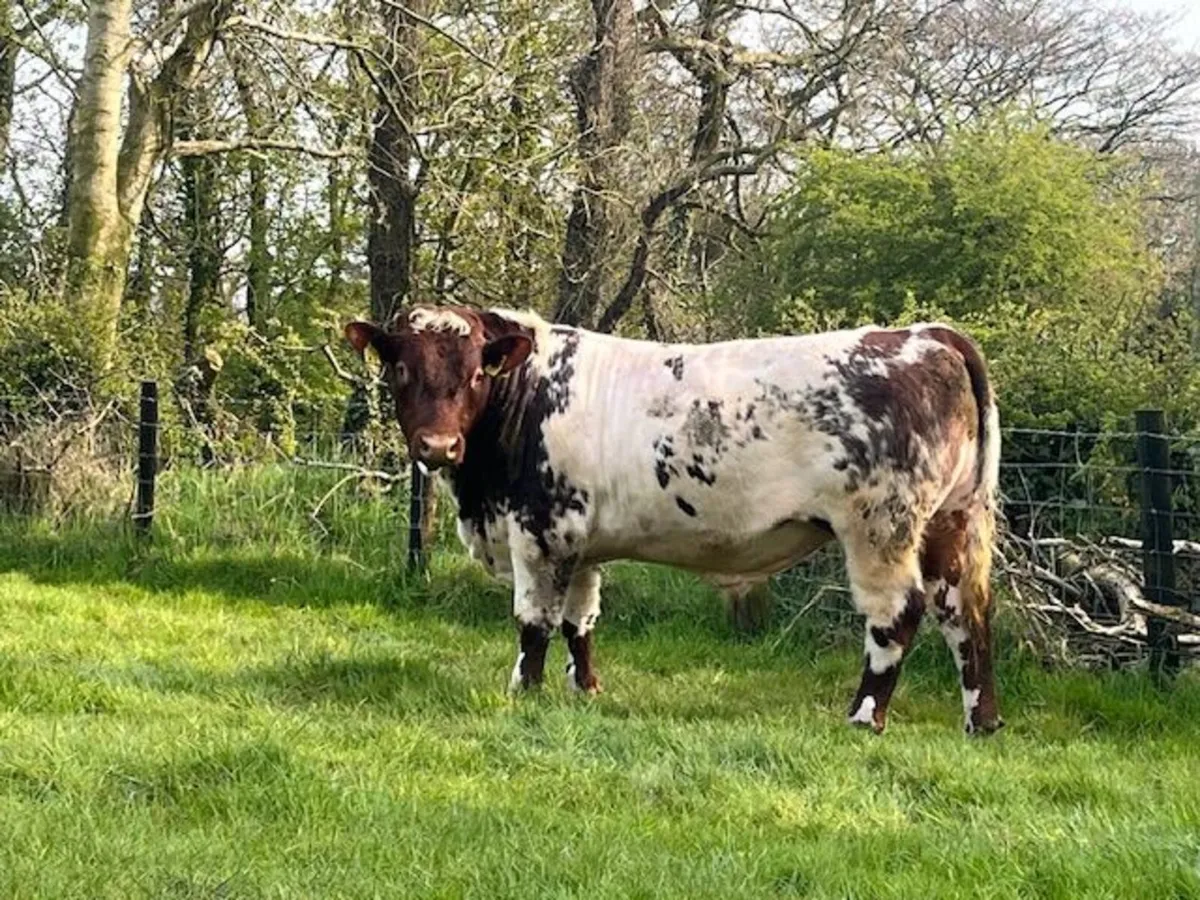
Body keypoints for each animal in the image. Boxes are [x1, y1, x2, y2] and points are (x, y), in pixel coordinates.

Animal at [344, 305, 1003, 734]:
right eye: (401, 370)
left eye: (476, 373)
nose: (436, 446)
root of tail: (926, 334)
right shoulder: (581, 542)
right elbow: (580, 620)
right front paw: (584, 690)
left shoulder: (540, 530)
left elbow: (534, 622)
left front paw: (522, 692)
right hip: (952, 521)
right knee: (965, 612)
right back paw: (982, 720)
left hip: (880, 526)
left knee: (898, 614)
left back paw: (865, 716)